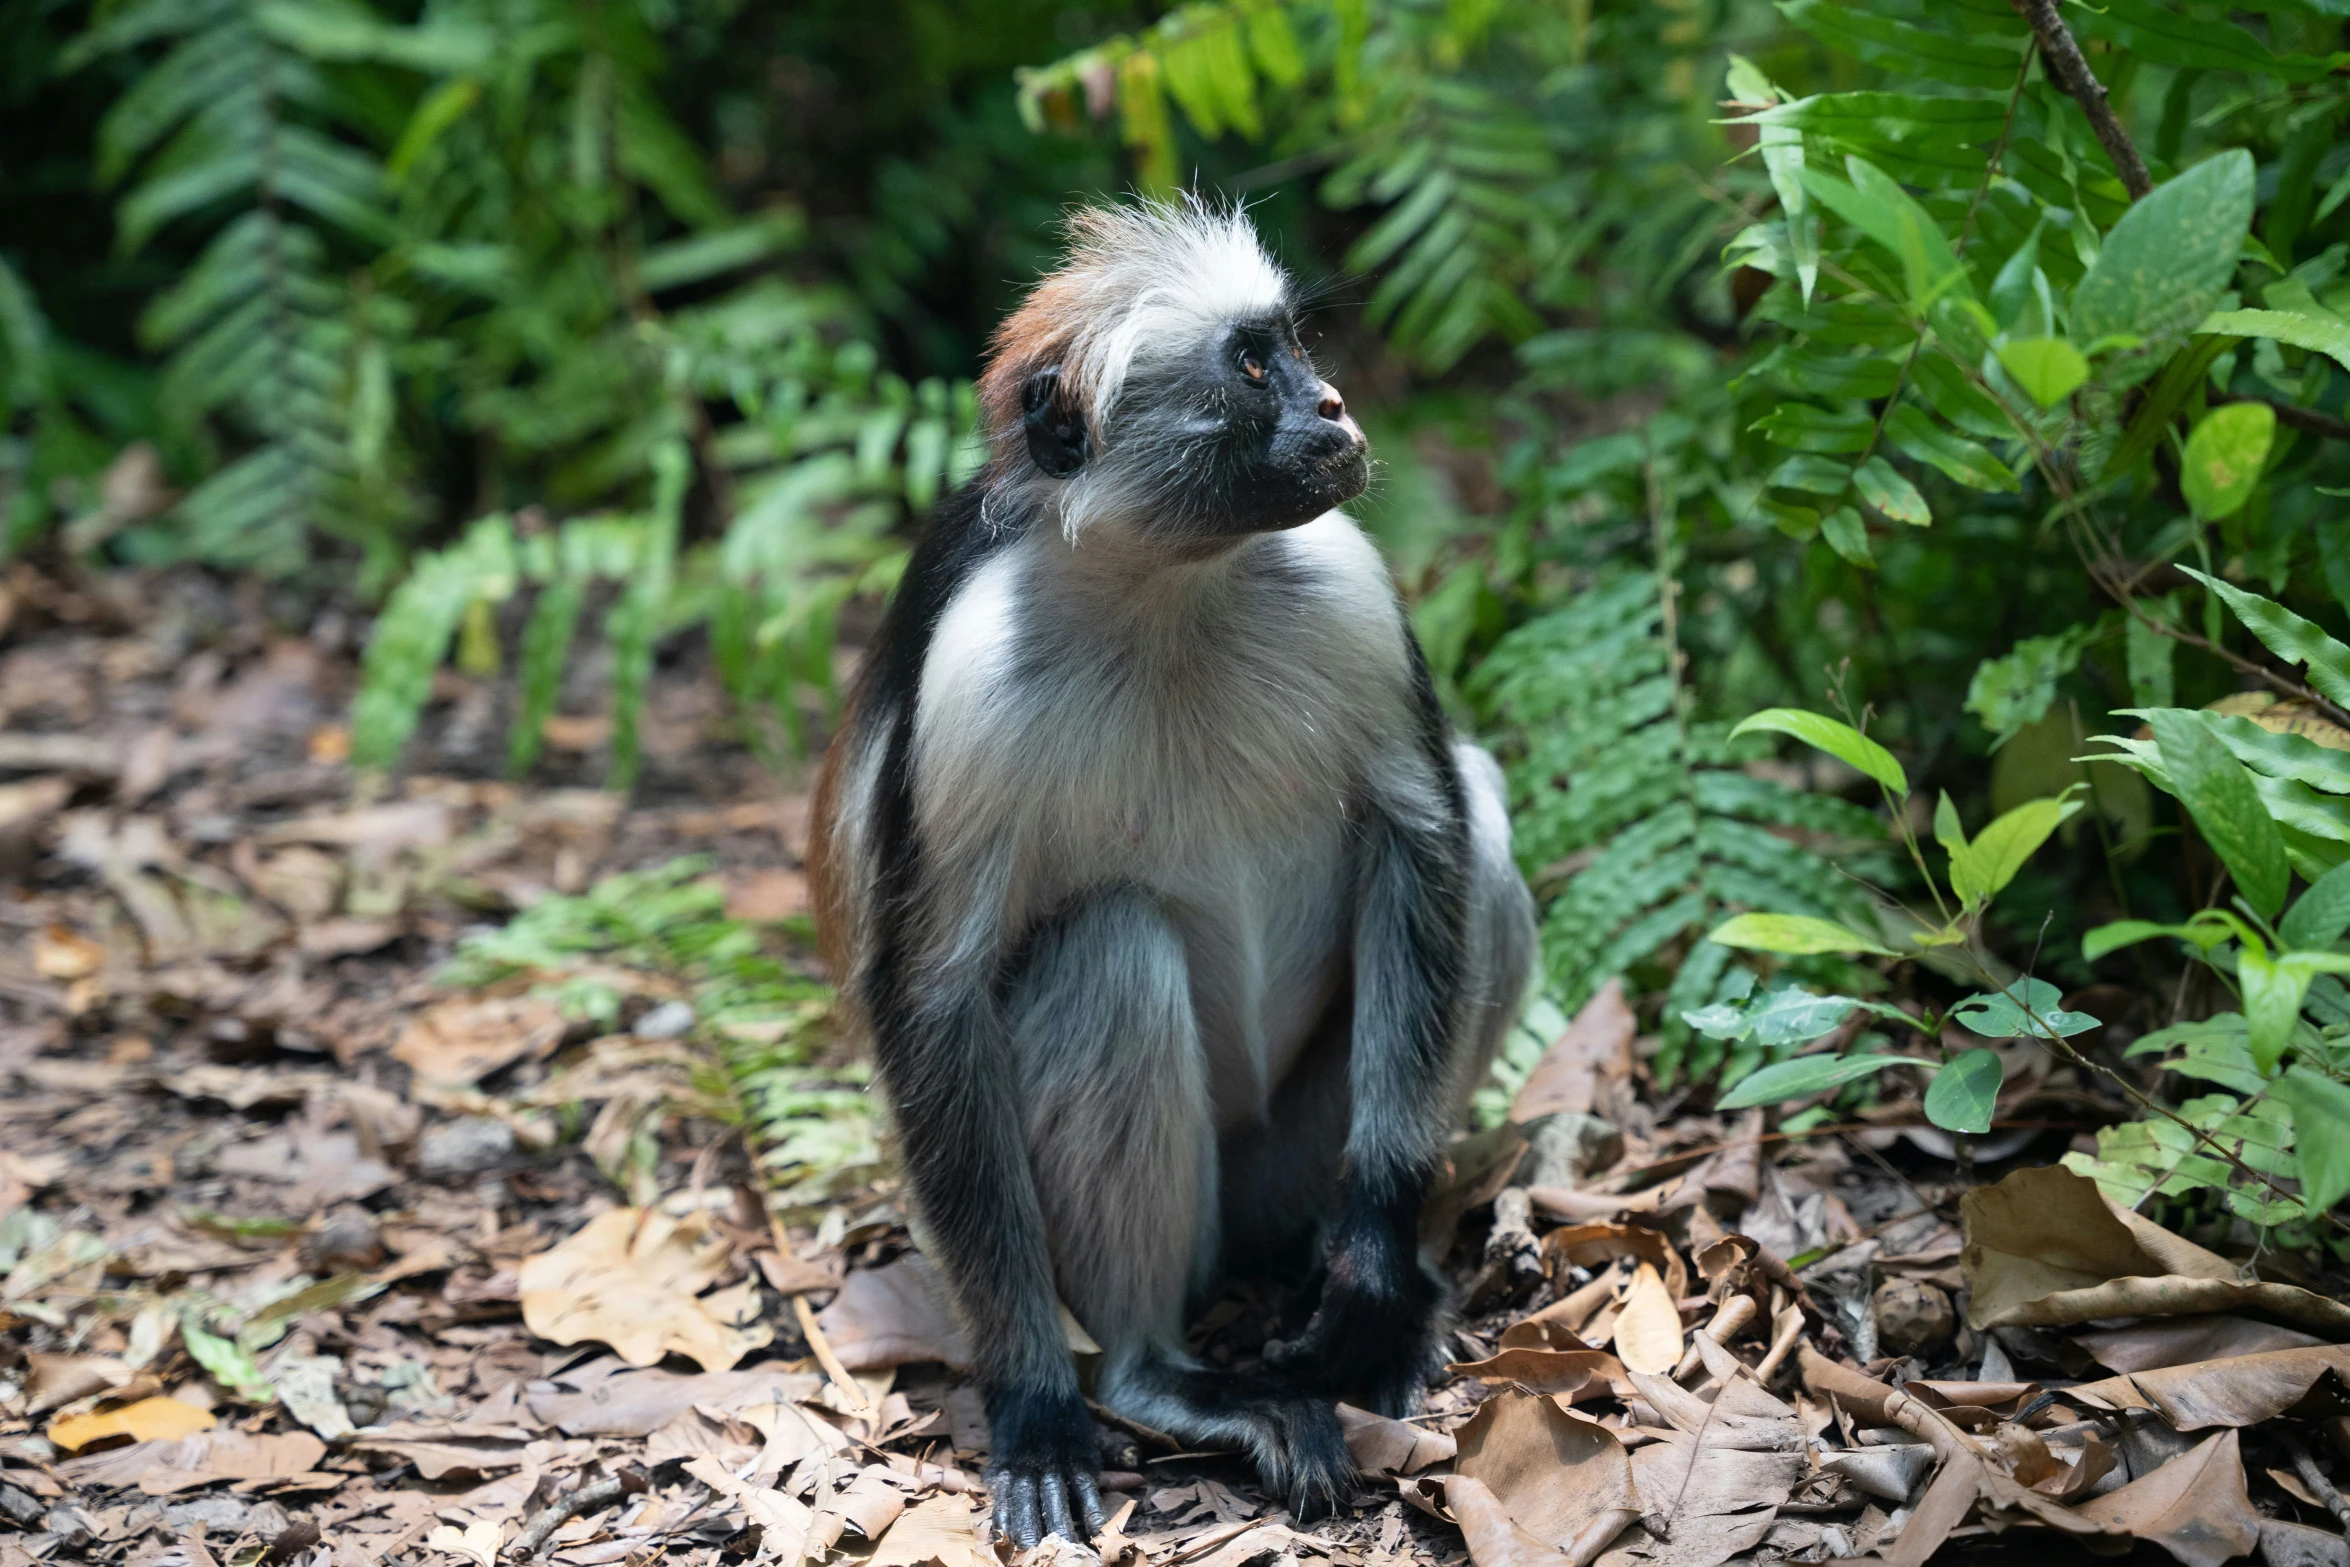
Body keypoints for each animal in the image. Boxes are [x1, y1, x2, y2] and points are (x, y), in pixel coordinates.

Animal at [808, 202, 1541, 1550]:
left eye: (1294, 345)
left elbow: (1422, 834)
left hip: (1287, 1158)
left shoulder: (1344, 573)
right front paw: (1033, 1398)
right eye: (1251, 367)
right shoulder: (971, 671)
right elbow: (932, 999)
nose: (1335, 406)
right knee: (1112, 944)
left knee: (1480, 833)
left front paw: (1372, 1271)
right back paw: (1160, 1376)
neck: (1169, 589)